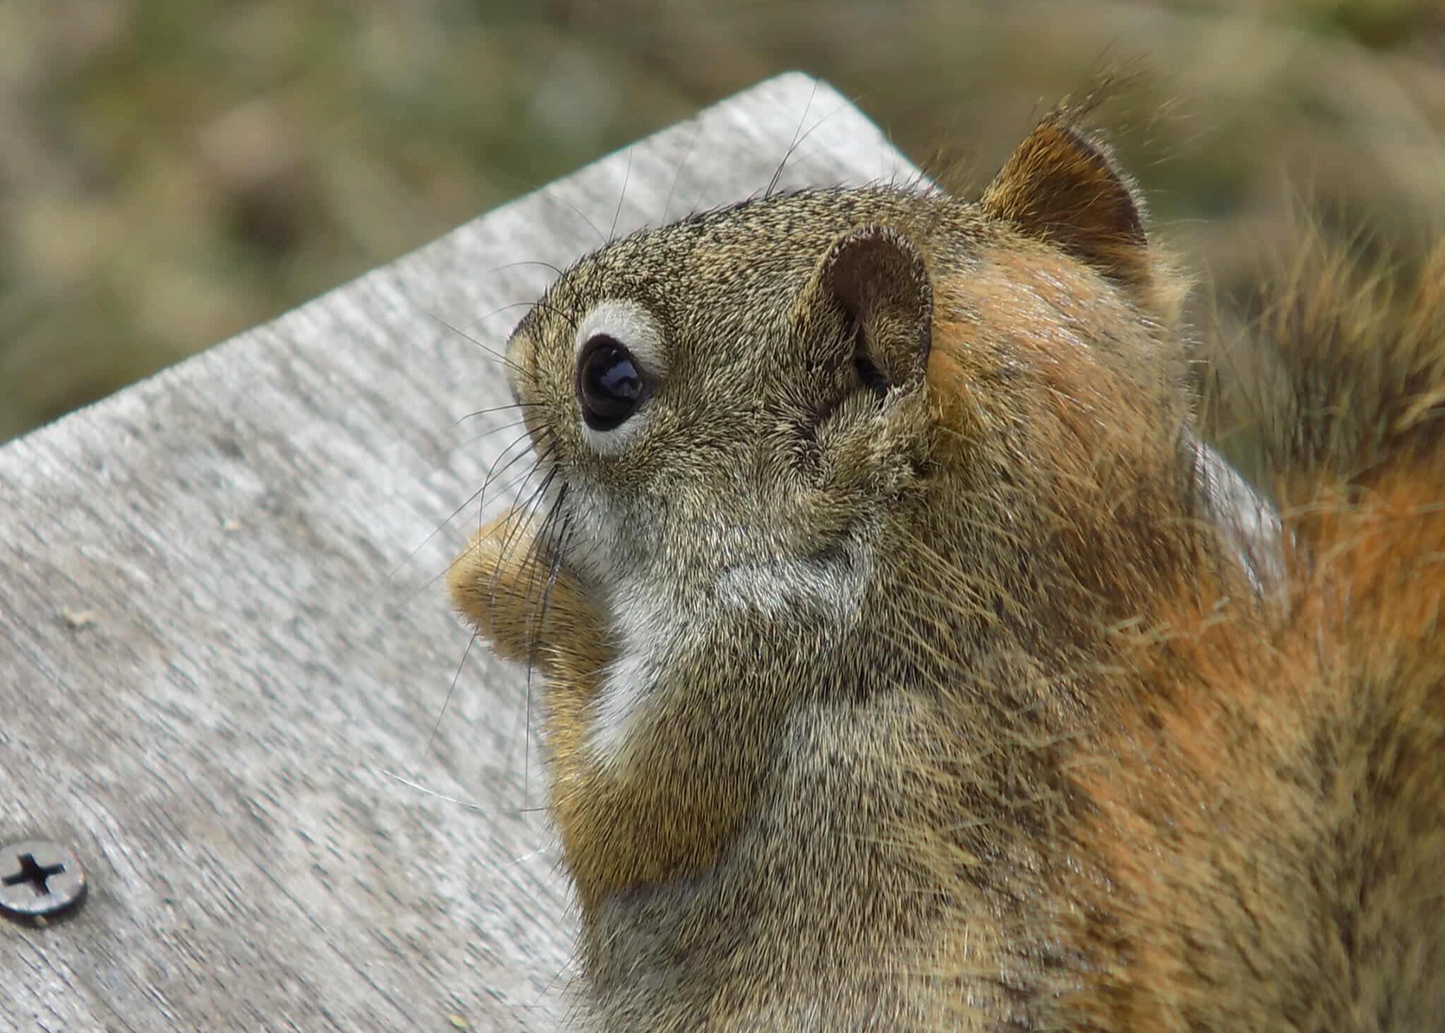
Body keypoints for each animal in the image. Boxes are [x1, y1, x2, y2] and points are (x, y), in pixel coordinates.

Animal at [447, 100, 1445, 1031]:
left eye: (607, 378)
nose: (513, 347)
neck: (952, 583)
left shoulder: (739, 678)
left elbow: (607, 822)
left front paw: (503, 579)